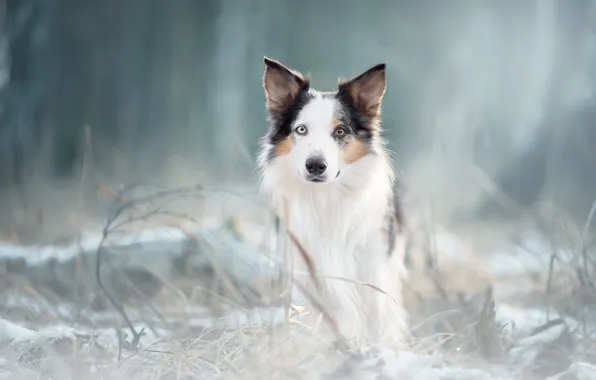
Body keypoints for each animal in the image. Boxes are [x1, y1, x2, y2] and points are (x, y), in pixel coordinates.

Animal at [256, 57, 410, 348]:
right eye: (301, 130)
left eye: (340, 131)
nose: (316, 166)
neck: (326, 199)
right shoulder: (309, 272)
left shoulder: (372, 267)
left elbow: (378, 317)